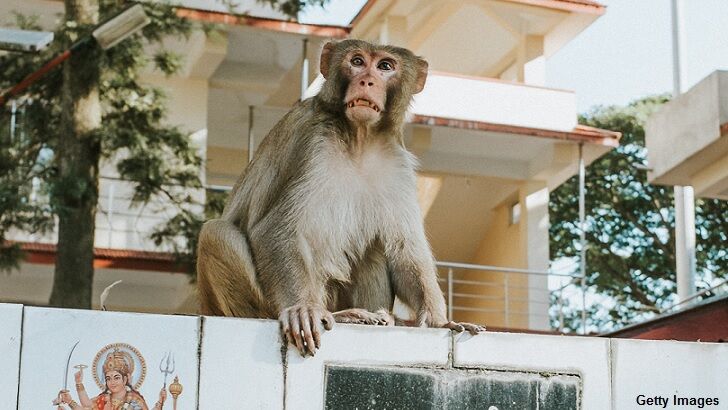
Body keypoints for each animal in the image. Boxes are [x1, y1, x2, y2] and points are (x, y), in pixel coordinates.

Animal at [196, 39, 484, 356]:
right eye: (357, 61)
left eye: (385, 66)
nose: (367, 81)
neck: (359, 138)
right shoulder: (312, 141)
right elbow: (275, 228)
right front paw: (303, 309)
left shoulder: (396, 161)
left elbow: (404, 249)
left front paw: (438, 321)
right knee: (216, 233)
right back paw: (336, 314)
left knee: (374, 248)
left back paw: (374, 315)